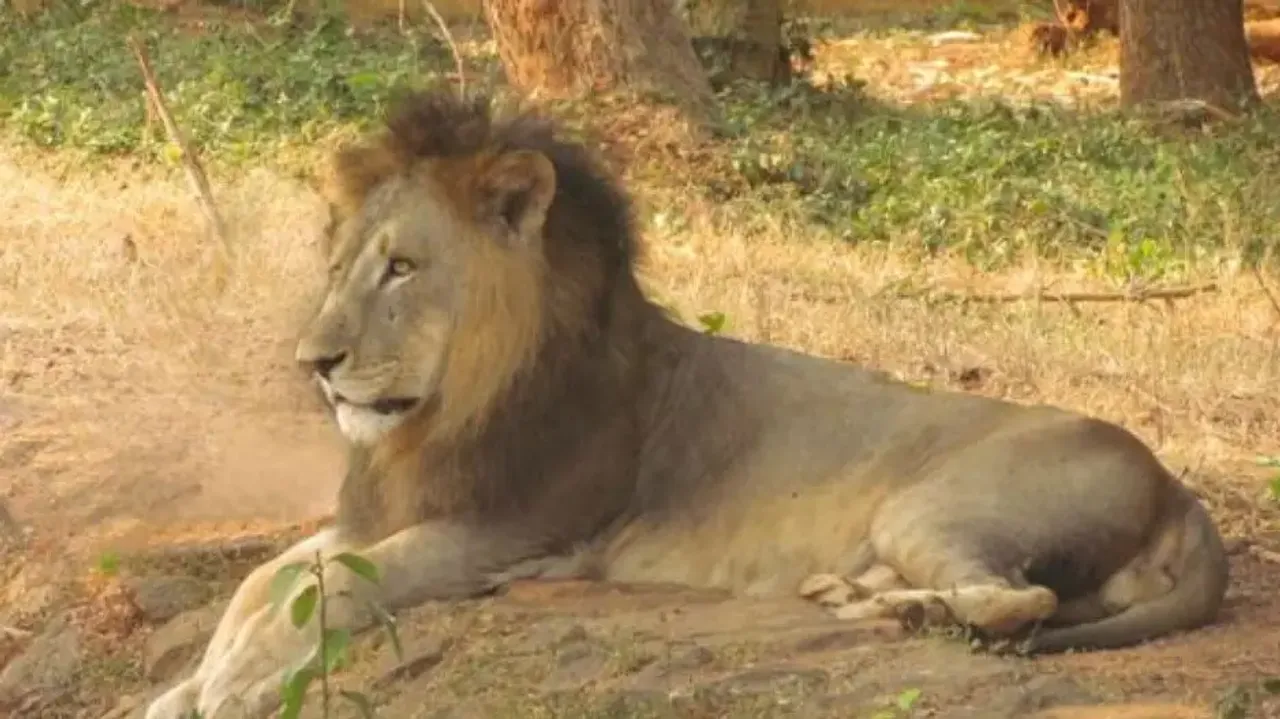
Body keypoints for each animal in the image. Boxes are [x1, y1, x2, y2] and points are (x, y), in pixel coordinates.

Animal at [145, 89, 1229, 719]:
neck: (445, 408)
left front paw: (237, 688)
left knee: (1021, 599)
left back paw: (906, 611)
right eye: (337, 267)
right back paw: (863, 597)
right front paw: (184, 684)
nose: (314, 362)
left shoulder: (508, 530)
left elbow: (335, 585)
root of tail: (1177, 485)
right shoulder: (388, 511)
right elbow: (263, 581)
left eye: (402, 267)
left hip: (931, 504)